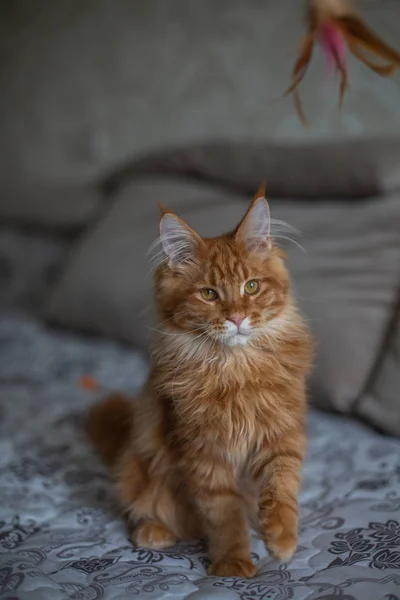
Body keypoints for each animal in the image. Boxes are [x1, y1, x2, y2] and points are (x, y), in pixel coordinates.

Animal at [87, 185, 312, 580]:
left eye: (251, 287)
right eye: (209, 294)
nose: (237, 318)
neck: (235, 368)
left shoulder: (281, 433)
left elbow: (281, 486)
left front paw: (281, 538)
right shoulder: (204, 452)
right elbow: (224, 514)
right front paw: (233, 564)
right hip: (137, 466)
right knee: (143, 507)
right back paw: (154, 532)